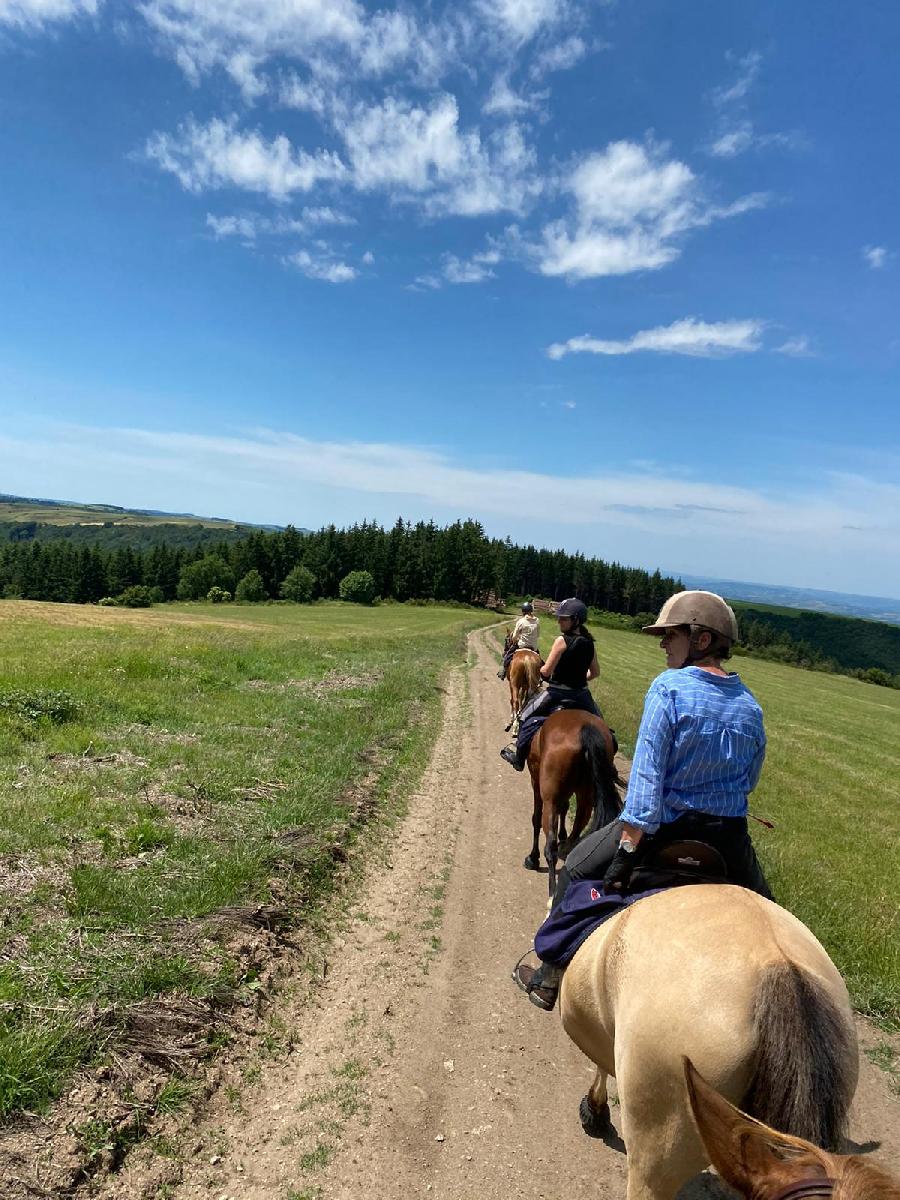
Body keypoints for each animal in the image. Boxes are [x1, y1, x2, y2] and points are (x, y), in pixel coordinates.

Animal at [525, 705, 624, 897]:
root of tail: (587, 729)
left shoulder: (536, 782)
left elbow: (536, 819)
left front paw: (533, 858)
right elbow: (564, 808)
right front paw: (563, 834)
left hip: (550, 797)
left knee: (551, 846)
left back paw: (553, 892)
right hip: (586, 791)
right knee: (579, 822)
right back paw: (567, 847)